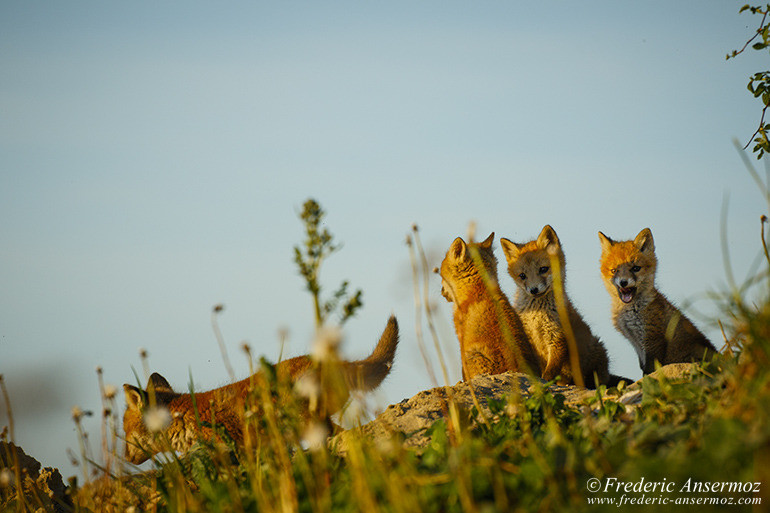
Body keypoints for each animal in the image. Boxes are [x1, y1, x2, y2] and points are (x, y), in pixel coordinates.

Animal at [121, 316, 396, 464]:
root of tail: (336, 361)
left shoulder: (232, 449)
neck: (184, 418)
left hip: (307, 422)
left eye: (125, 432)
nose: (125, 458)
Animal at [596, 228, 716, 372]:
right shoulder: (637, 344)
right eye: (614, 270)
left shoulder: (652, 340)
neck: (632, 310)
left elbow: (650, 370)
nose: (623, 282)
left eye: (635, 268)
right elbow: (643, 369)